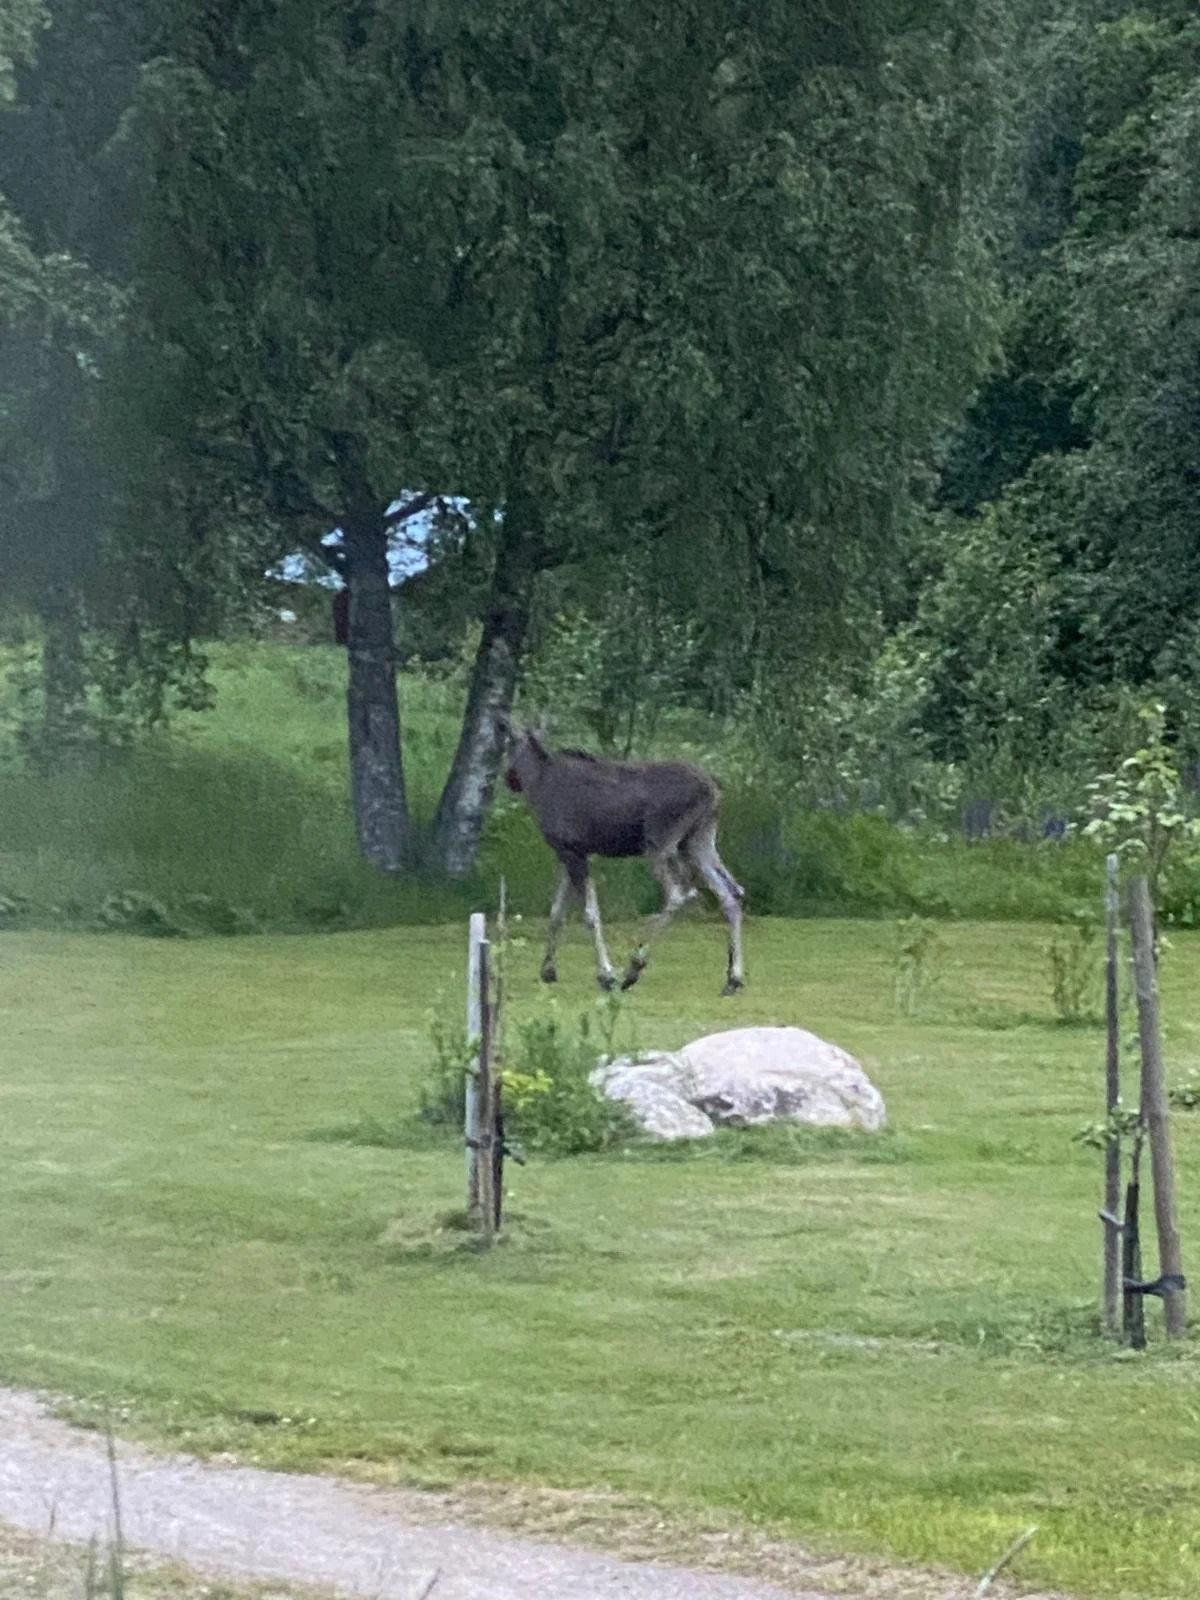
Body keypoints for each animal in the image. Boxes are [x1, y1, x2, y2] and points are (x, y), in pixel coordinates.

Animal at [503, 725, 745, 996]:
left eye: (507, 745)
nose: (509, 779)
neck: (536, 784)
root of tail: (713, 791)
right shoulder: (569, 853)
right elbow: (556, 913)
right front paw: (547, 970)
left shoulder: (574, 854)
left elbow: (590, 915)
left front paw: (606, 974)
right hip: (698, 841)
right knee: (731, 892)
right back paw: (733, 979)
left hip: (660, 844)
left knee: (680, 894)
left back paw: (634, 967)